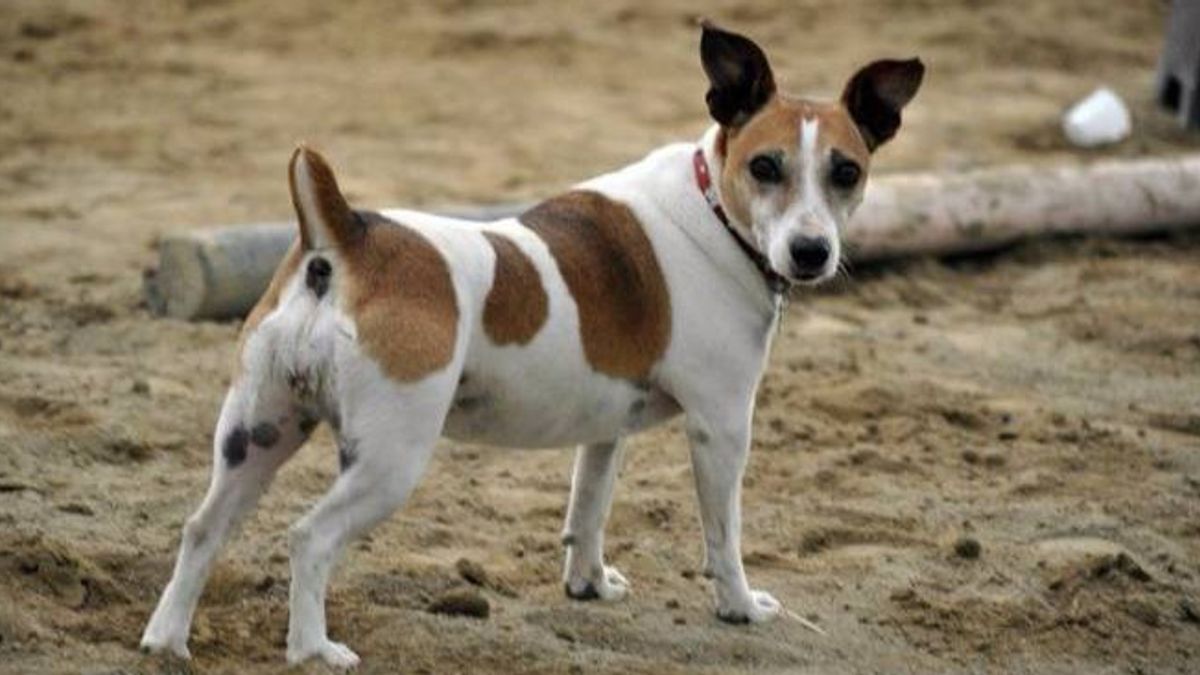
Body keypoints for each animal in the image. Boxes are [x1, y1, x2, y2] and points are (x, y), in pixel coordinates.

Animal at [142, 22, 926, 667]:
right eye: (766, 166)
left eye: (846, 172)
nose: (811, 252)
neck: (712, 210)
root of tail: (348, 237)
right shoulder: (723, 427)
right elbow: (722, 535)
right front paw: (740, 606)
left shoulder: (607, 428)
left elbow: (588, 508)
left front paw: (588, 585)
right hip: (389, 459)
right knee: (309, 537)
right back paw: (314, 650)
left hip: (257, 435)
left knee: (202, 528)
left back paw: (167, 639)